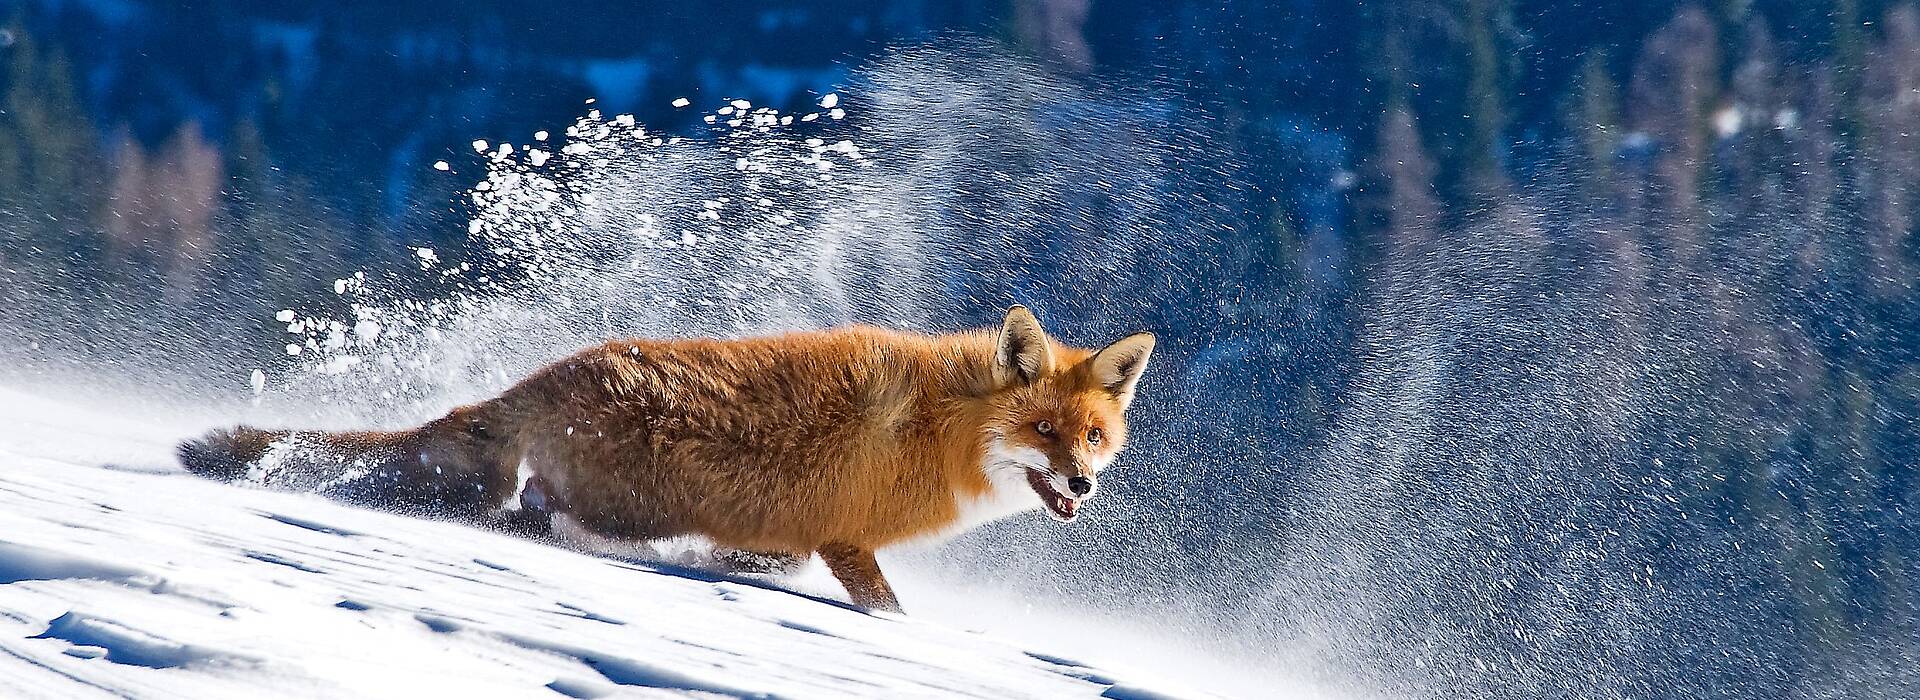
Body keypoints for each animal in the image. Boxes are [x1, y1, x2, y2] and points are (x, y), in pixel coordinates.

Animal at [183, 304, 1152, 609]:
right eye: (1043, 432)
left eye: (1093, 437)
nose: (1081, 482)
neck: (938, 431)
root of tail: (556, 371)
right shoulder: (847, 541)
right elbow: (886, 610)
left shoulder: (800, 535)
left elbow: (770, 559)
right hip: (628, 505)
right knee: (523, 514)